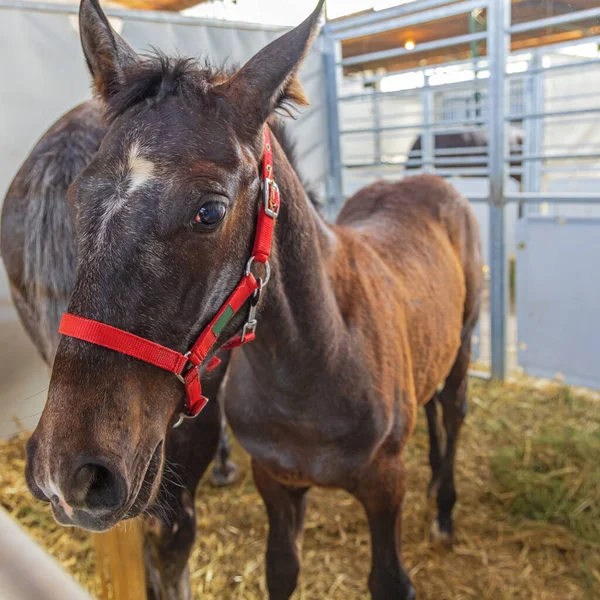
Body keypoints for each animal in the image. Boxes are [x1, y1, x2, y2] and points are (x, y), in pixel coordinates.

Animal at [2, 2, 482, 596]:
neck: (318, 362)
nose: (68, 474)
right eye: (76, 196)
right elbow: (281, 569)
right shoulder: (275, 481)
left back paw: (443, 509)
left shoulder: (385, 485)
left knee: (452, 408)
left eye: (210, 210)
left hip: (464, 344)